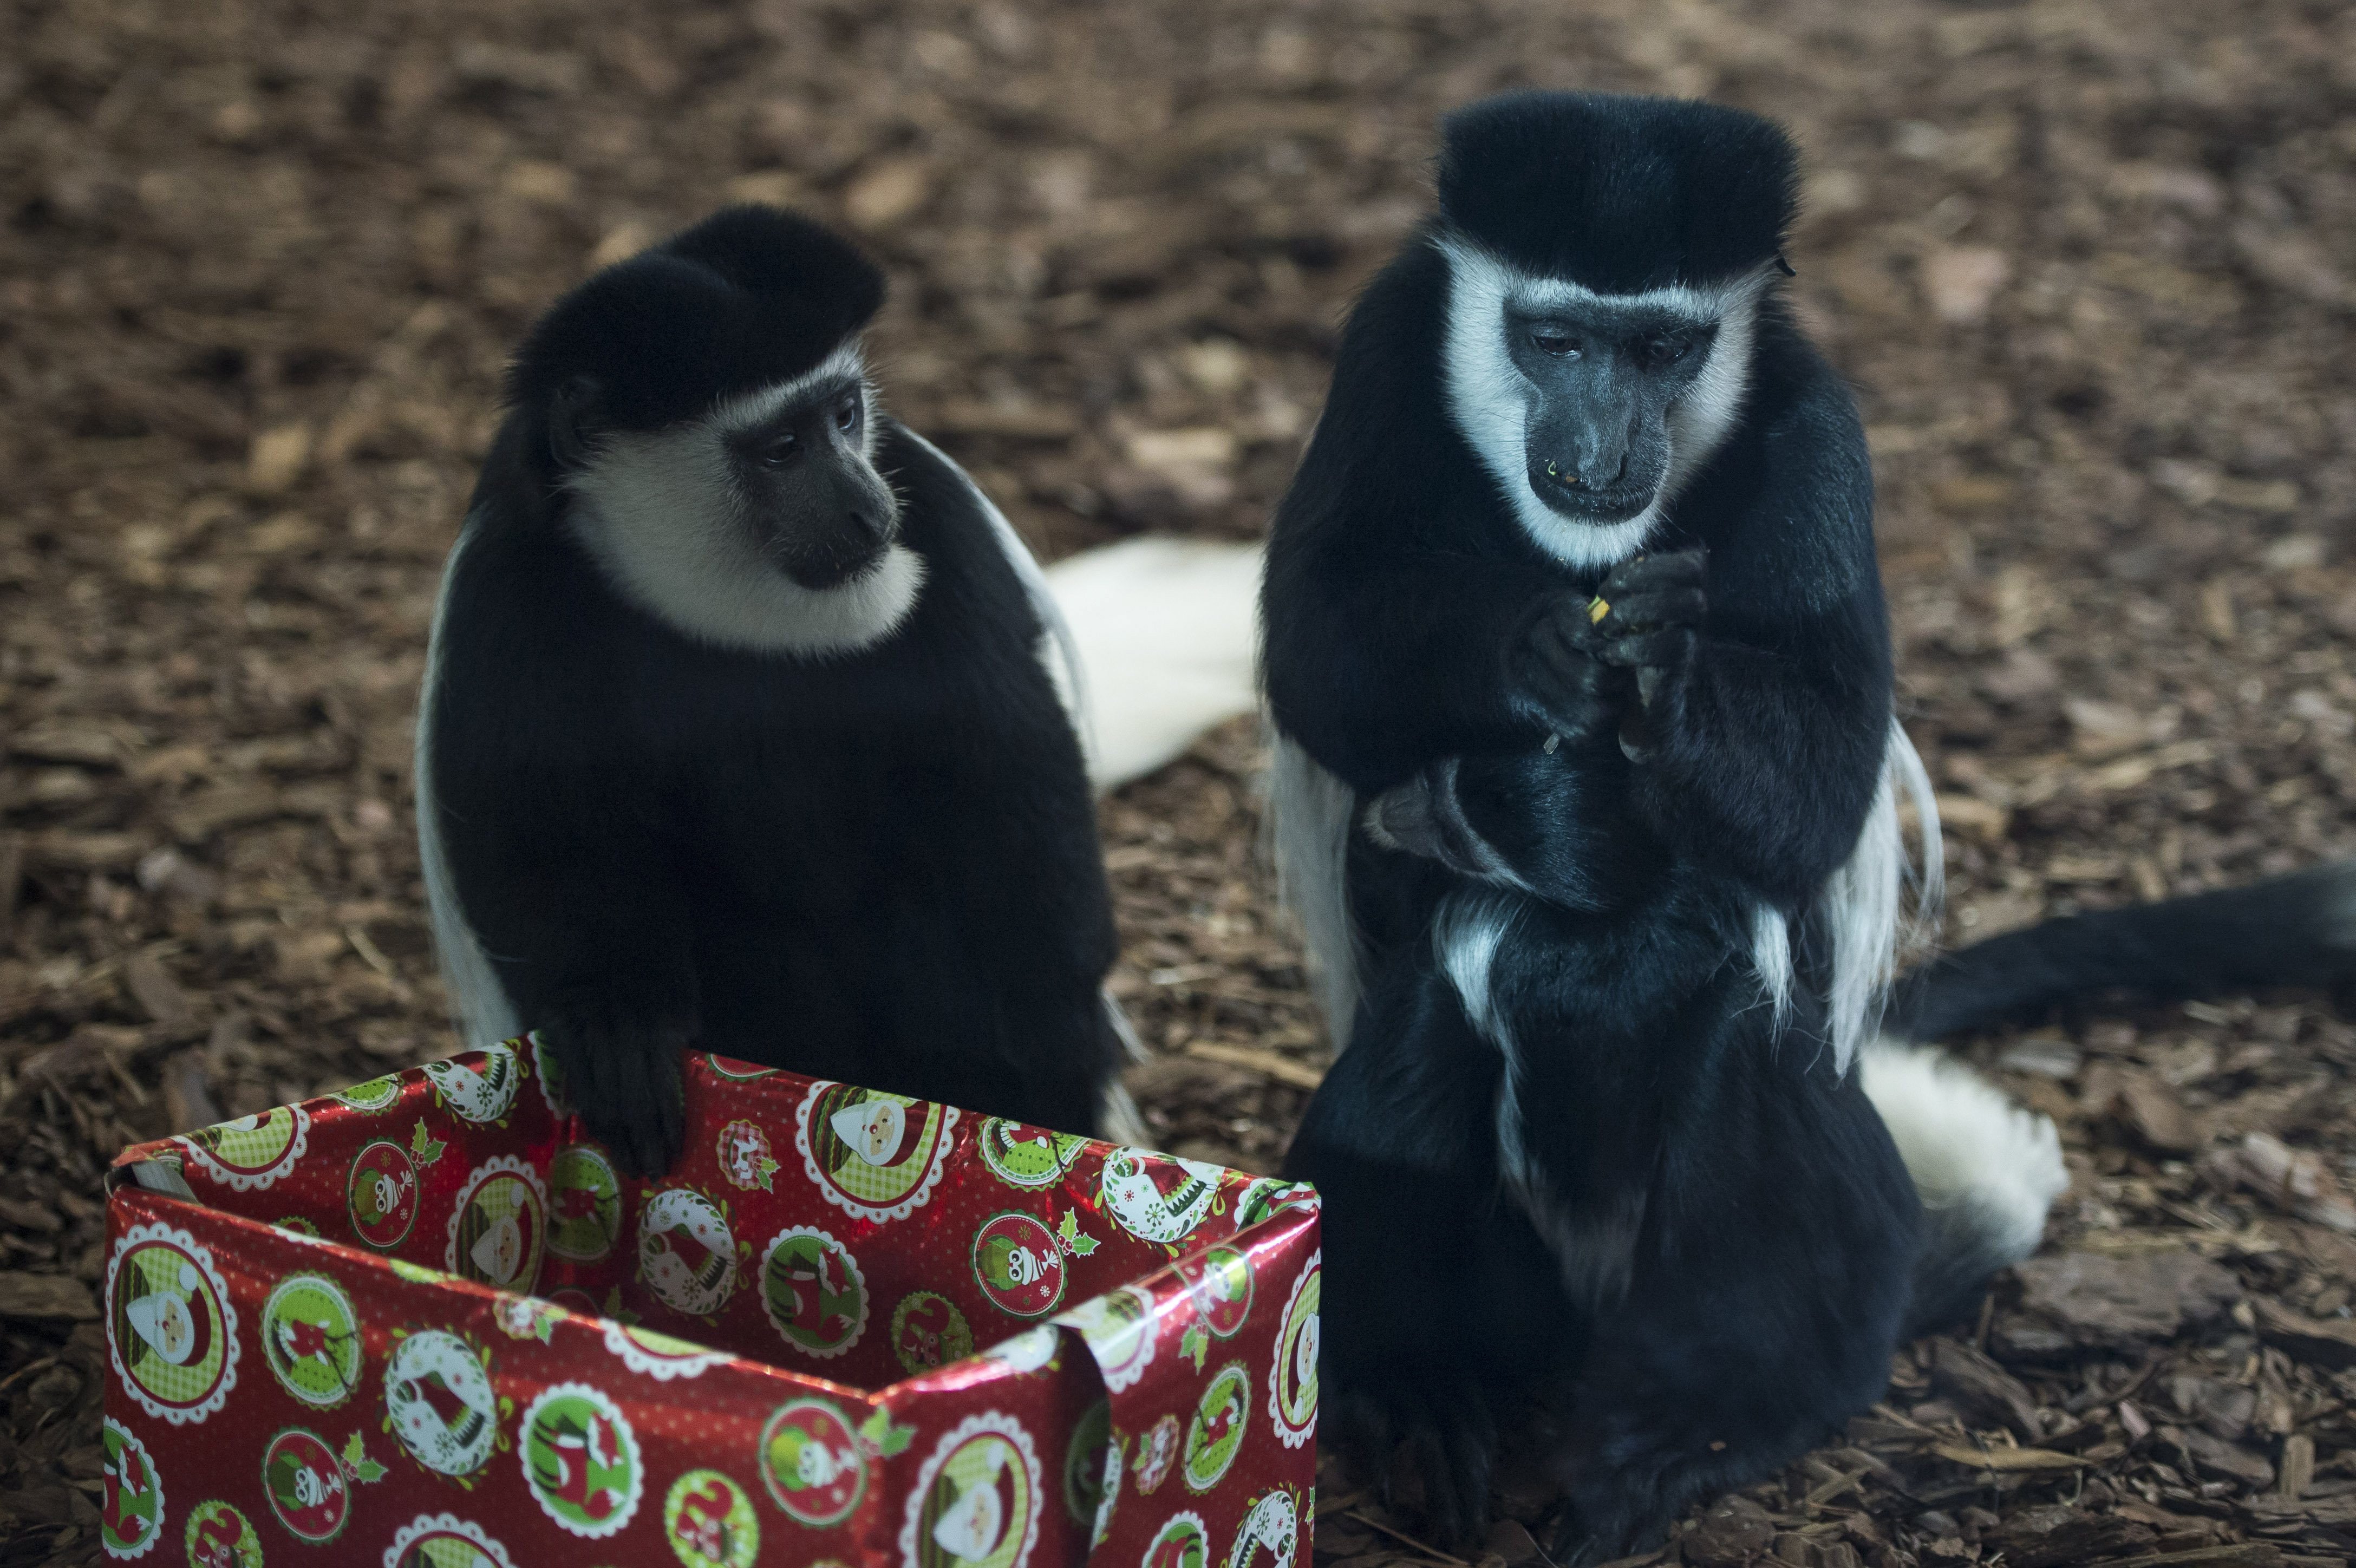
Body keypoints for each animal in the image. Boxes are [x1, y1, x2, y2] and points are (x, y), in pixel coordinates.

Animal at [426, 207, 1140, 1167]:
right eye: (780, 449)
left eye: (843, 415)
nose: (868, 512)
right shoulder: (507, 594)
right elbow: (537, 833)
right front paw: (620, 1034)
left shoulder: (943, 524)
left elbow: (1012, 762)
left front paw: (1041, 1061)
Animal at [1272, 95, 2064, 1553]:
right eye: (1555, 340)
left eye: (1660, 348)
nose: (1596, 449)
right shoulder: (1383, 352)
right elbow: (1312, 633)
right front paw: (1531, 643)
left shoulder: (1816, 425)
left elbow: (1820, 772)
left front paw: (1666, 671)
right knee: (1418, 1037)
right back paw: (1417, 1408)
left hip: (1790, 1228)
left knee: (1739, 1042)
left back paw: (1685, 1432)